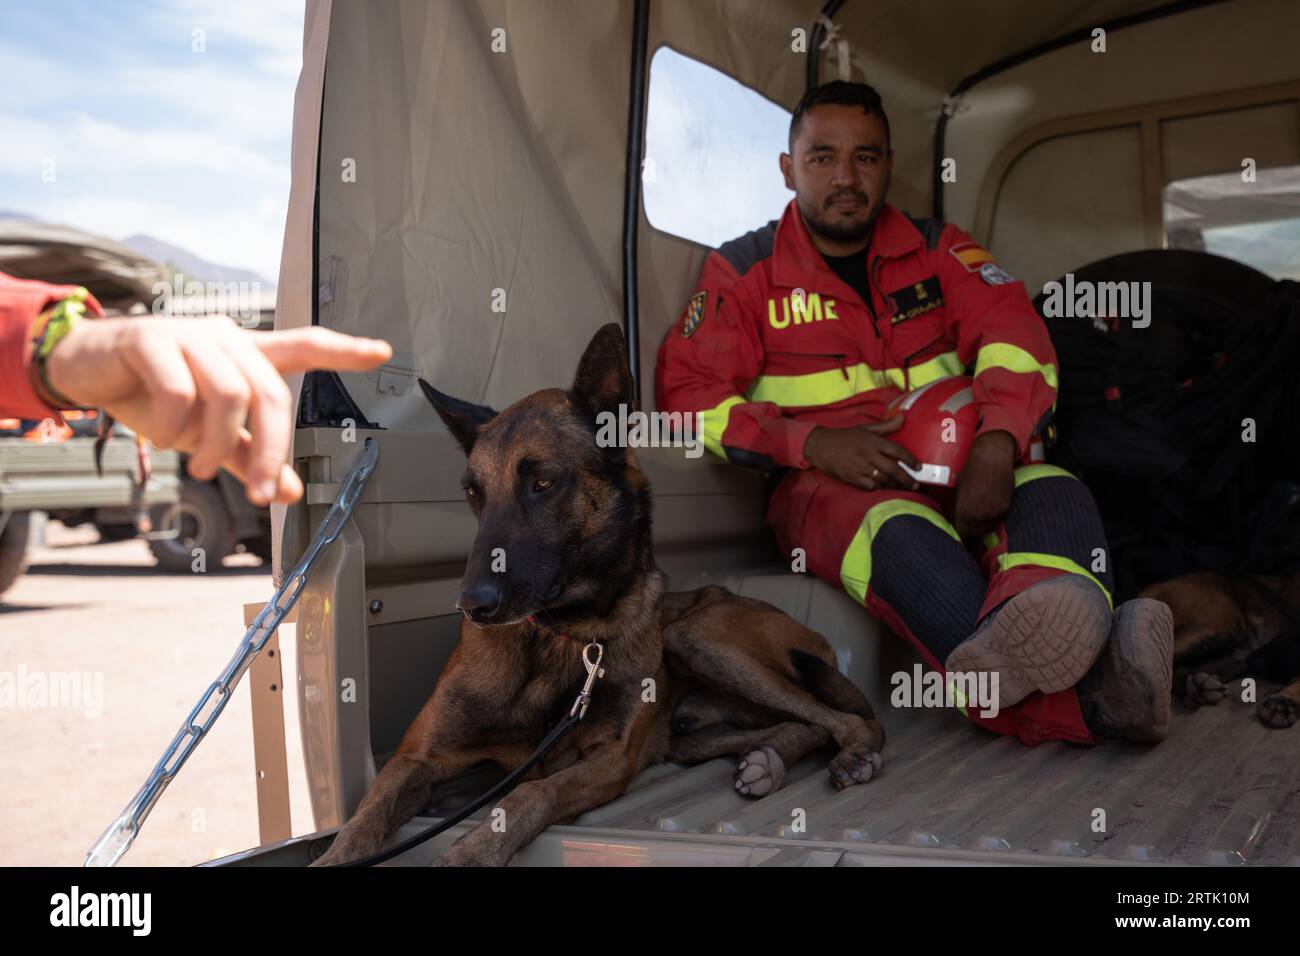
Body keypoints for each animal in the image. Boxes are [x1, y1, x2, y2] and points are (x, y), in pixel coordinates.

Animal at [313, 323, 883, 868]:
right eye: (474, 493)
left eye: (543, 482)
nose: (472, 605)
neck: (562, 635)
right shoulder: (414, 759)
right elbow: (363, 821)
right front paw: (335, 856)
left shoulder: (609, 761)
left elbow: (528, 796)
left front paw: (472, 852)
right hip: (692, 735)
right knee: (796, 723)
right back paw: (768, 761)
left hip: (695, 636)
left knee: (847, 719)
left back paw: (855, 754)